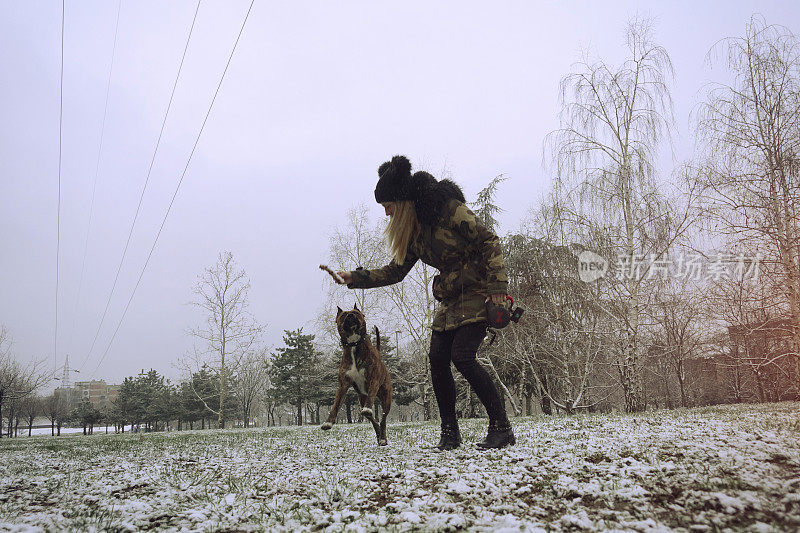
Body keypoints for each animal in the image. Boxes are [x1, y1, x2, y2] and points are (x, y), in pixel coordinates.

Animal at [320, 304, 392, 444]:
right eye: (343, 315)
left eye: (356, 313)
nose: (350, 315)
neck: (354, 344)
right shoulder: (342, 385)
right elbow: (335, 404)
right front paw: (328, 422)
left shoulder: (373, 379)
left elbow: (371, 396)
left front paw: (368, 408)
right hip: (361, 400)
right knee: (374, 420)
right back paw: (378, 434)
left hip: (386, 398)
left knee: (383, 419)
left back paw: (382, 438)